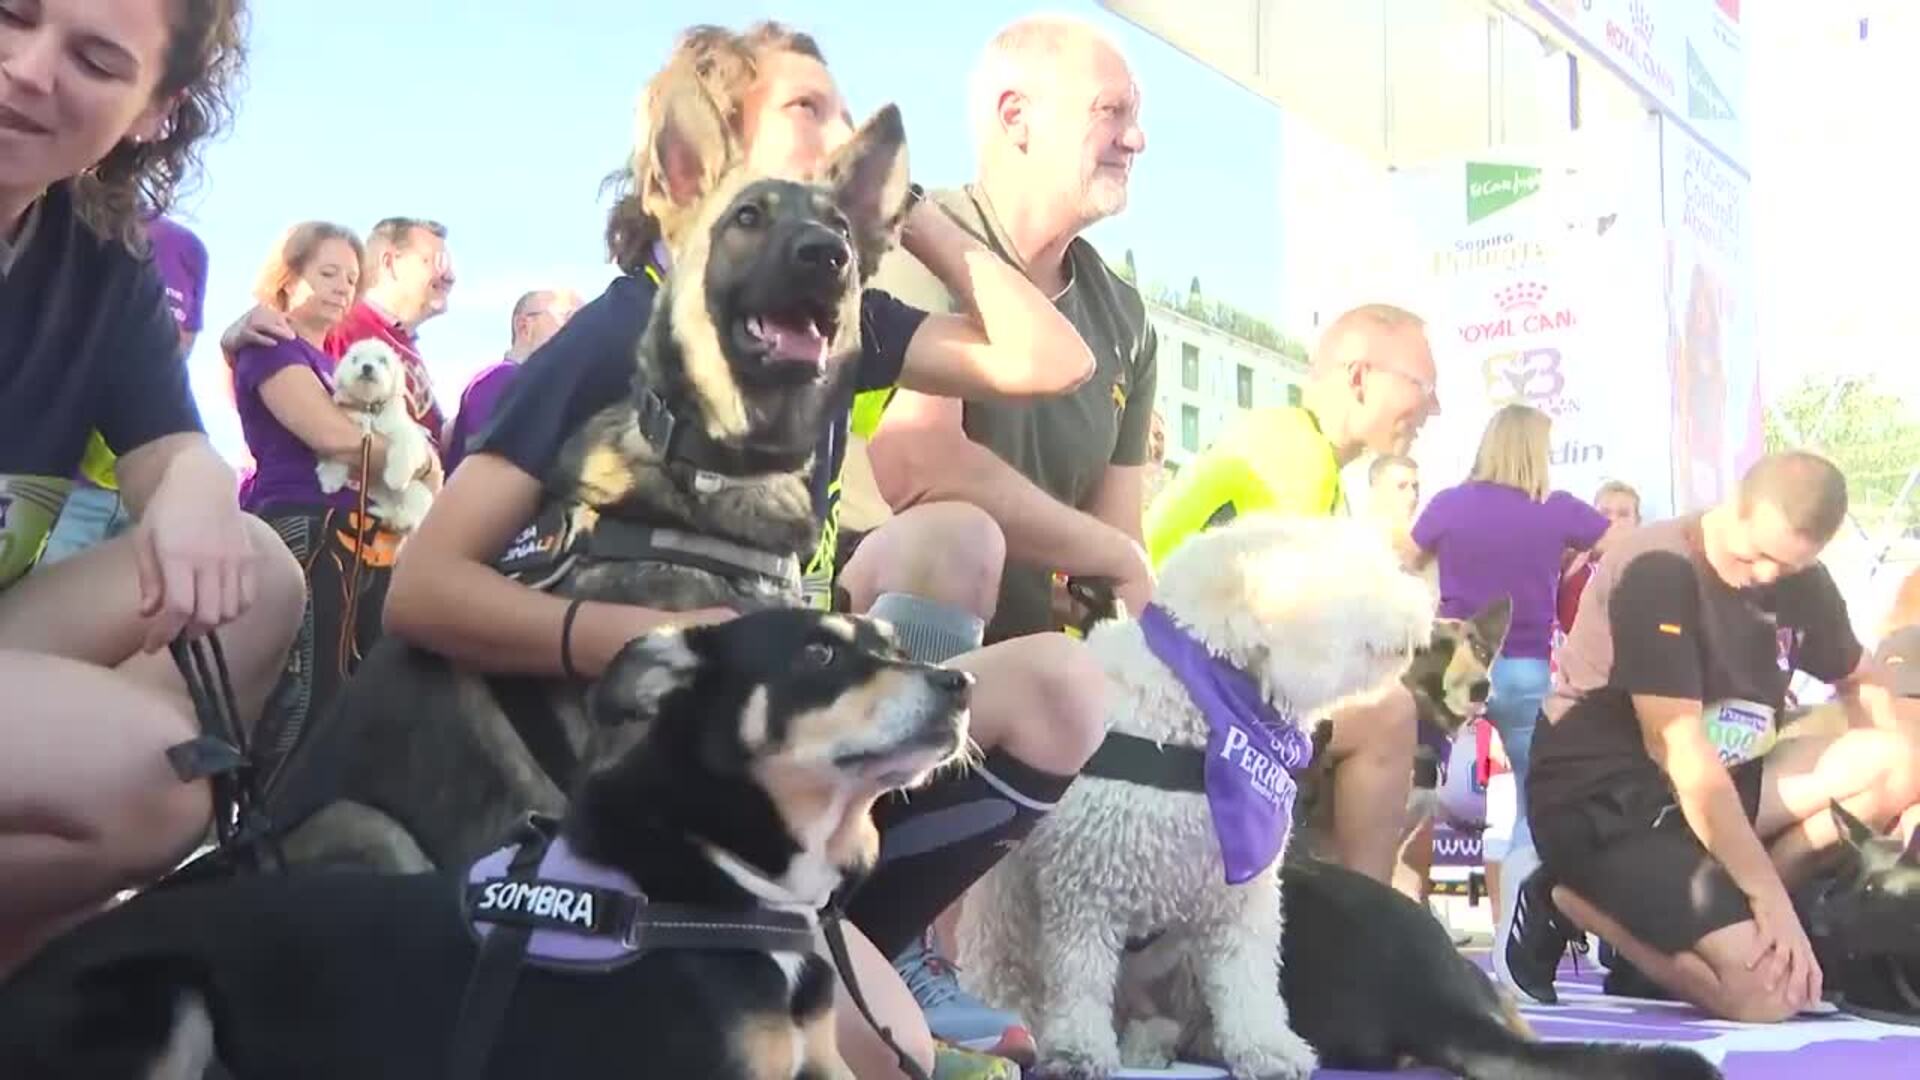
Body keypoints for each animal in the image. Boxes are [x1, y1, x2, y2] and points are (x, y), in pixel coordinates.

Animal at [324, 336, 439, 530]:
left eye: (383, 360)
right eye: (355, 359)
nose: (366, 367)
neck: (371, 408)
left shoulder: (408, 434)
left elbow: (405, 449)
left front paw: (396, 477)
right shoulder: (348, 425)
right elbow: (338, 454)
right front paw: (330, 477)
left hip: (417, 489)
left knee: (411, 514)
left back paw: (401, 518)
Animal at [960, 515, 1443, 1076]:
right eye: (1349, 569)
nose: (1422, 609)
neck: (1198, 715)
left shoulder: (1241, 899)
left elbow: (1249, 982)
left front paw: (1266, 1047)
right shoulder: (1083, 888)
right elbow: (1080, 978)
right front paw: (1078, 1048)